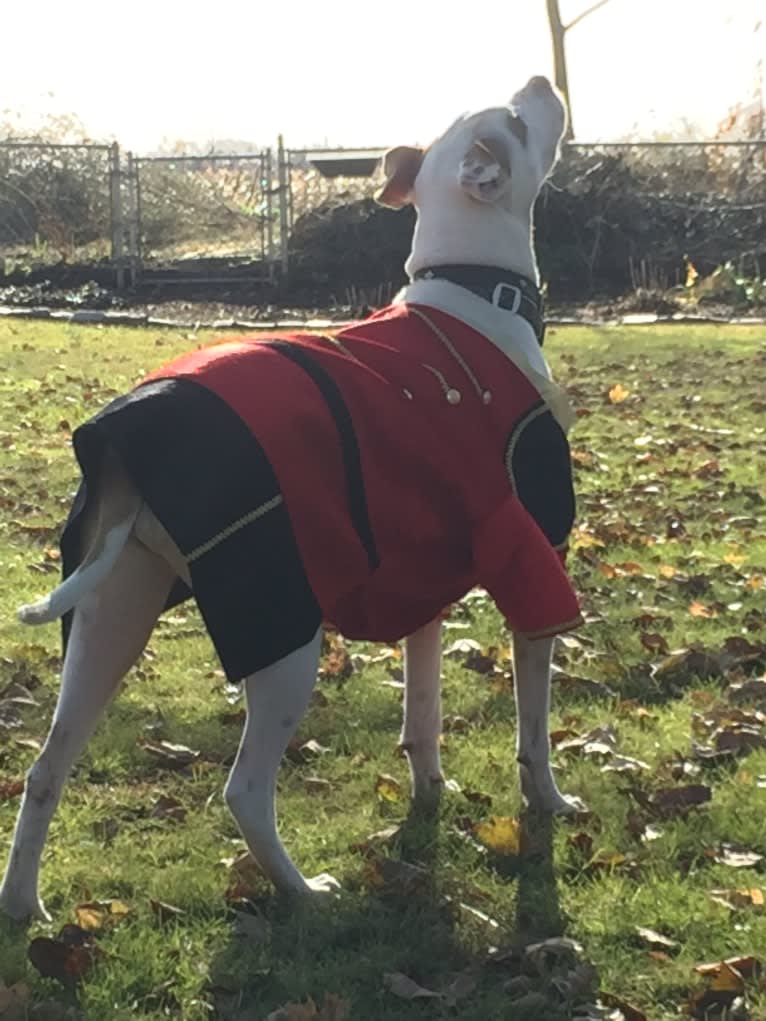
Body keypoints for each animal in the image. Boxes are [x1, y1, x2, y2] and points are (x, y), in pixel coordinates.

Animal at [1, 77, 588, 927]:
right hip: (281, 632)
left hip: (108, 618)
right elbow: (534, 728)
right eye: (513, 120)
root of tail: (125, 430)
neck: (471, 290)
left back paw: (23, 903)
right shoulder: (530, 560)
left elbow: (422, 715)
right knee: (245, 790)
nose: (542, 83)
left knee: (45, 768)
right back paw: (304, 892)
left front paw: (428, 797)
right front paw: (548, 802)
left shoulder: (425, 578)